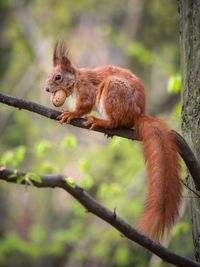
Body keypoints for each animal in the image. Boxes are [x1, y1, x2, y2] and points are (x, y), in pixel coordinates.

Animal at [44, 42, 182, 241]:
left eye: (58, 77)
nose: (47, 89)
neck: (77, 79)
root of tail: (138, 115)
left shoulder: (87, 90)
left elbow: (84, 105)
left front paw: (71, 113)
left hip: (113, 90)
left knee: (115, 121)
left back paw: (101, 122)